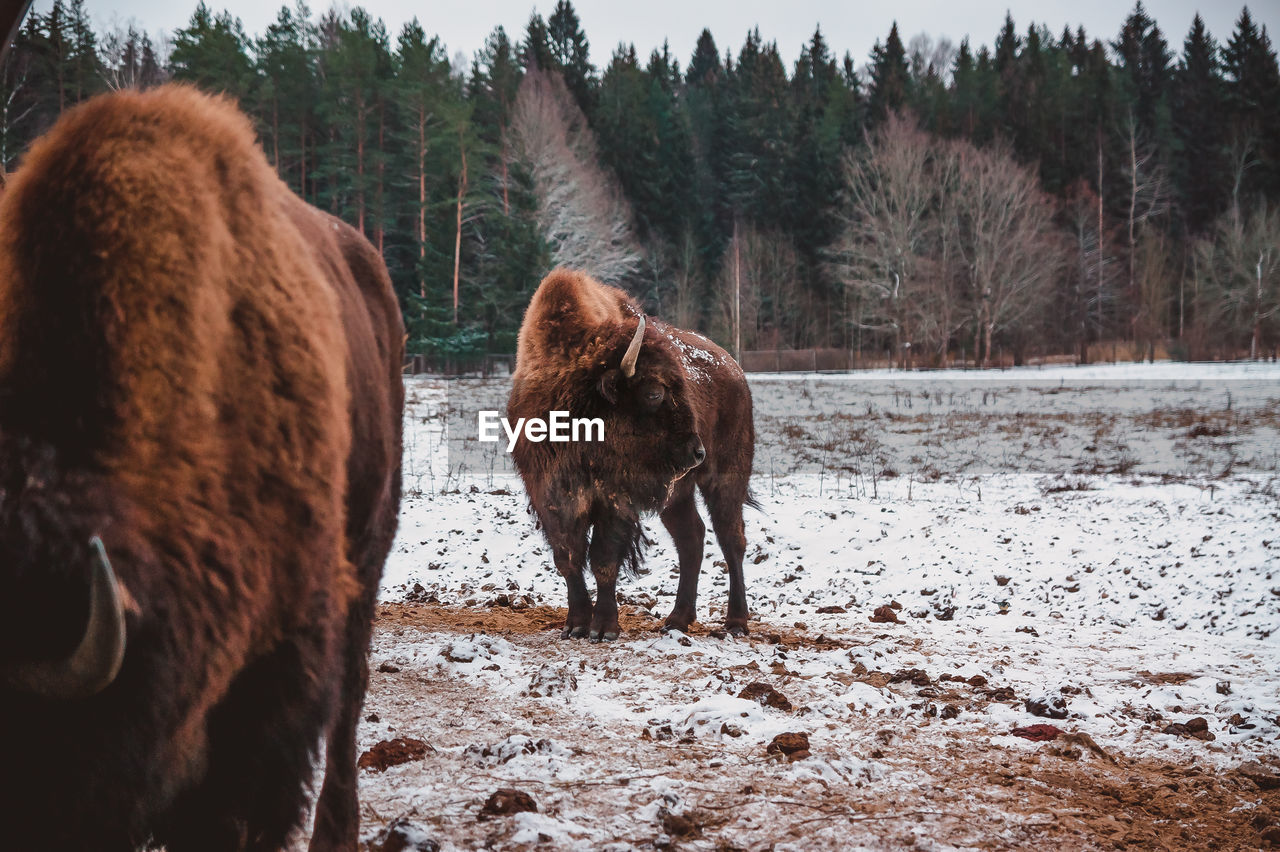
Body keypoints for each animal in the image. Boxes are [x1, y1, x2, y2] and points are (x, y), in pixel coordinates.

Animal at [506, 268, 752, 639]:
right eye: (653, 393)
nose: (697, 453)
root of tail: (734, 369)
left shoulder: (616, 500)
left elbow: (603, 560)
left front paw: (604, 628)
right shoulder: (549, 497)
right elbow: (568, 559)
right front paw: (575, 625)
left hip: (726, 478)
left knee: (730, 538)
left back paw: (736, 622)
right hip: (677, 493)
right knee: (691, 539)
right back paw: (677, 620)